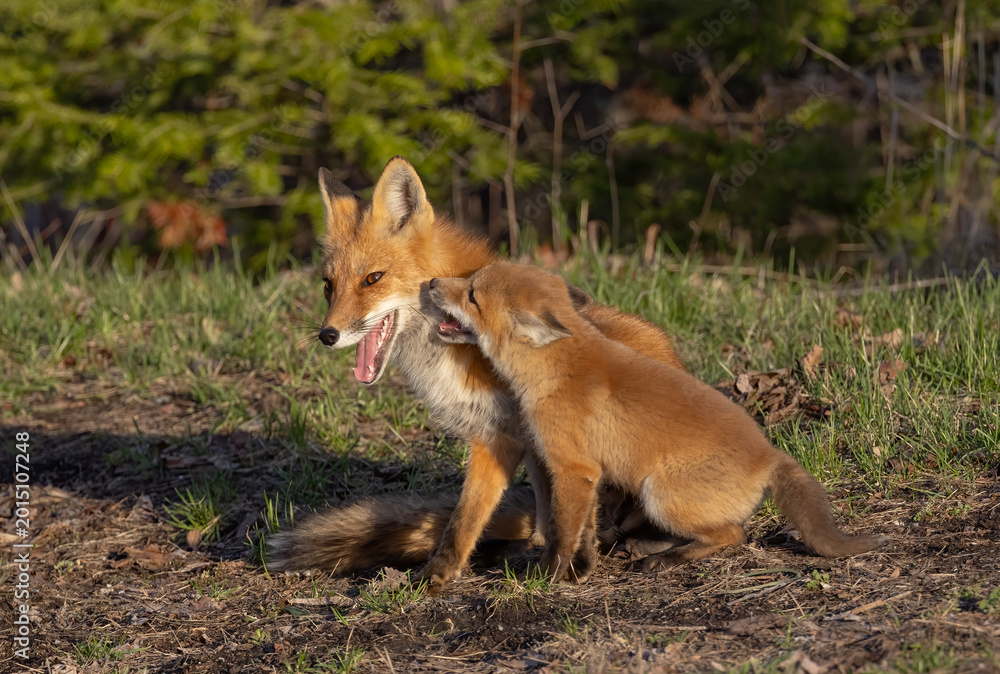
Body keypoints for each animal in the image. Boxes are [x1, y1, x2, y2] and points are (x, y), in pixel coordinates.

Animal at [269, 156, 684, 592]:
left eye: (373, 279)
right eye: (328, 285)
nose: (327, 335)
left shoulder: (536, 437)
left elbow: (568, 512)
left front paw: (574, 564)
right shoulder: (496, 436)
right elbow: (465, 519)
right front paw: (441, 573)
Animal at [426, 261, 889, 583]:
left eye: (472, 294)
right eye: (468, 283)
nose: (429, 284)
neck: (556, 371)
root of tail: (769, 455)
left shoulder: (574, 470)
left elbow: (561, 533)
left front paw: (548, 577)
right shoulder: (590, 474)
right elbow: (585, 531)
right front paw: (582, 568)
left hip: (660, 492)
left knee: (733, 536)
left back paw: (667, 558)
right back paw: (647, 547)